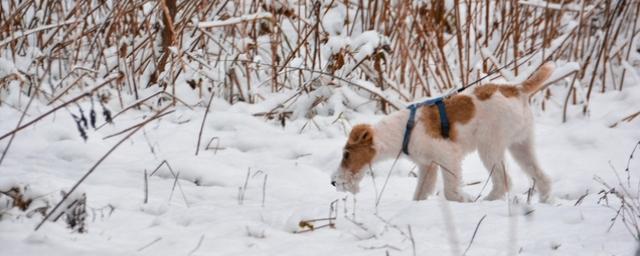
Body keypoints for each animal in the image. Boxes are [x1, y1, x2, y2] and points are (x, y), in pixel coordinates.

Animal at [332, 63, 552, 203]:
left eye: (346, 154)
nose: (333, 182)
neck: (404, 130)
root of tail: (518, 90)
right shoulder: (428, 165)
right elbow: (420, 193)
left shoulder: (448, 156)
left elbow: (451, 191)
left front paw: (464, 199)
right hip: (521, 145)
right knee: (541, 176)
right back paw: (546, 199)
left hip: (490, 148)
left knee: (503, 182)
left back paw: (486, 201)